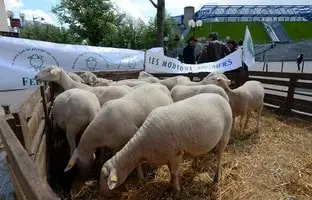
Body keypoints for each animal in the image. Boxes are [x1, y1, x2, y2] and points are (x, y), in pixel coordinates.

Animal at [98, 93, 233, 199]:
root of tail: (220, 96)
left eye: (106, 177)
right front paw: (170, 186)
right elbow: (170, 172)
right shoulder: (168, 157)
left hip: (225, 134)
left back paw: (217, 177)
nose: (101, 194)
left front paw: (176, 192)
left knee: (219, 156)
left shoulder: (176, 155)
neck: (143, 147)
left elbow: (174, 173)